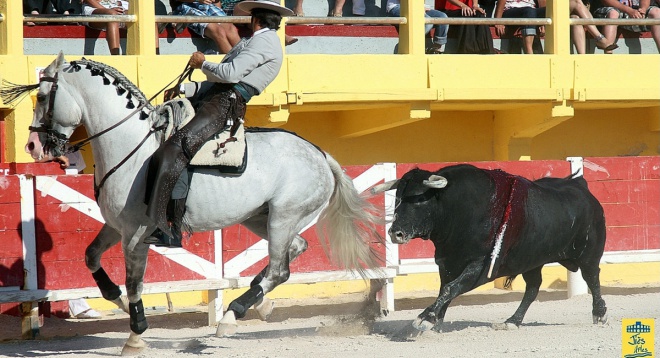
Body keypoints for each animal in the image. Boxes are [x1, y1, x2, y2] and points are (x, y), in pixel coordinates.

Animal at [18, 53, 384, 356]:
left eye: (41, 96)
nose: (32, 145)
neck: (131, 147)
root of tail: (321, 154)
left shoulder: (136, 235)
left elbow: (135, 283)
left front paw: (136, 337)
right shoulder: (115, 226)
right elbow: (91, 257)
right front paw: (120, 304)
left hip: (283, 216)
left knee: (280, 268)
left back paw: (231, 316)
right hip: (259, 218)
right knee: (294, 250)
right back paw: (258, 304)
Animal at [376, 164, 608, 332]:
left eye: (419, 200)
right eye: (397, 199)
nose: (395, 233)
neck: (459, 211)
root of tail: (581, 186)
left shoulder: (482, 267)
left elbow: (451, 288)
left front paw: (425, 318)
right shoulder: (447, 264)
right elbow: (445, 289)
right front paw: (435, 322)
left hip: (589, 255)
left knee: (592, 279)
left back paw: (600, 314)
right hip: (532, 262)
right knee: (533, 288)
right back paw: (512, 321)